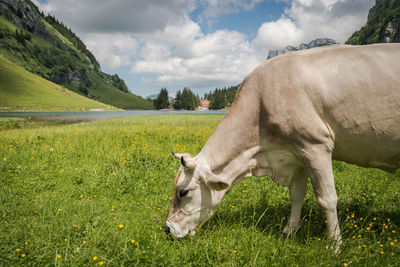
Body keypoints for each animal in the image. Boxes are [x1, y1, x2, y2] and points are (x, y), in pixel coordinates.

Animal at [163, 44, 400, 251]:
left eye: (183, 191)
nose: (167, 228)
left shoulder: (316, 145)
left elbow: (327, 199)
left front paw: (334, 245)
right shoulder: (297, 153)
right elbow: (296, 195)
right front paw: (289, 230)